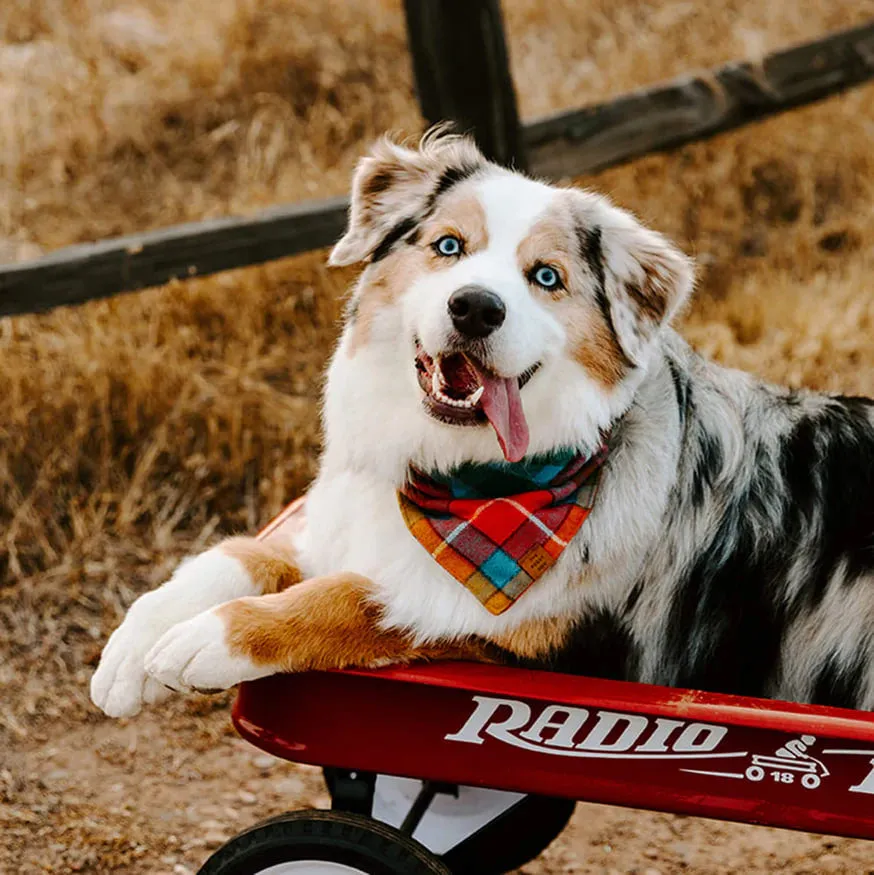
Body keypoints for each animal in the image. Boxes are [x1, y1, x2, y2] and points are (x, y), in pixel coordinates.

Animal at [90, 130, 872, 720]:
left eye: (546, 277)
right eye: (448, 246)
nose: (474, 307)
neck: (459, 477)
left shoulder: (545, 649)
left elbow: (363, 598)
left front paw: (211, 637)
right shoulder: (339, 523)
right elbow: (249, 552)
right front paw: (138, 639)